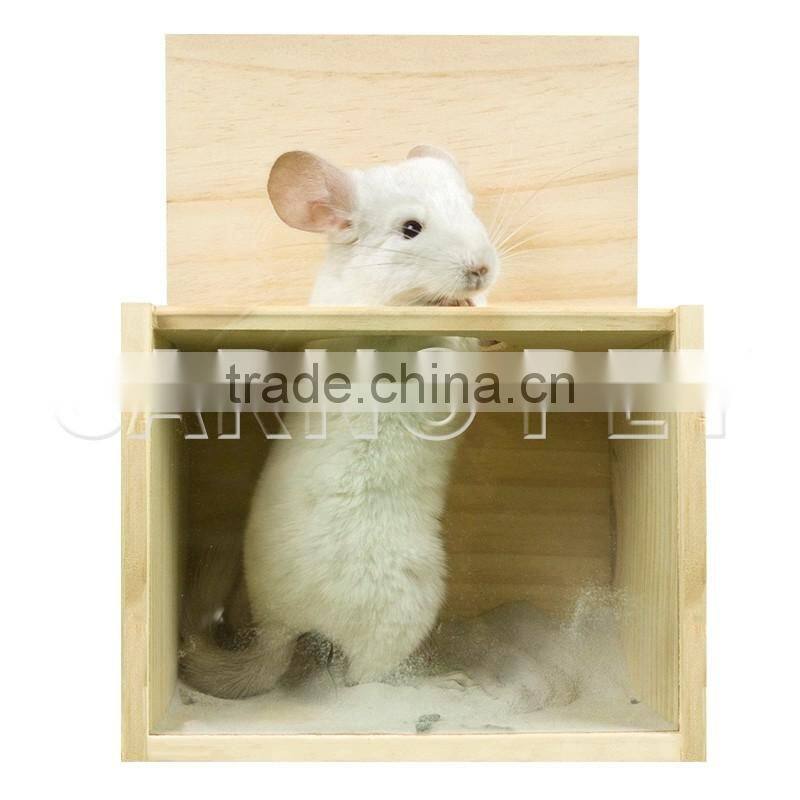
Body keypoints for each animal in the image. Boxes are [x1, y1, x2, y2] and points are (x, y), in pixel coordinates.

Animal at [180, 147, 499, 698]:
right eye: (411, 228)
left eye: (471, 207)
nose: (482, 269)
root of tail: (279, 627)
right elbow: (451, 352)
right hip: (407, 604)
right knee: (365, 680)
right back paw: (447, 682)